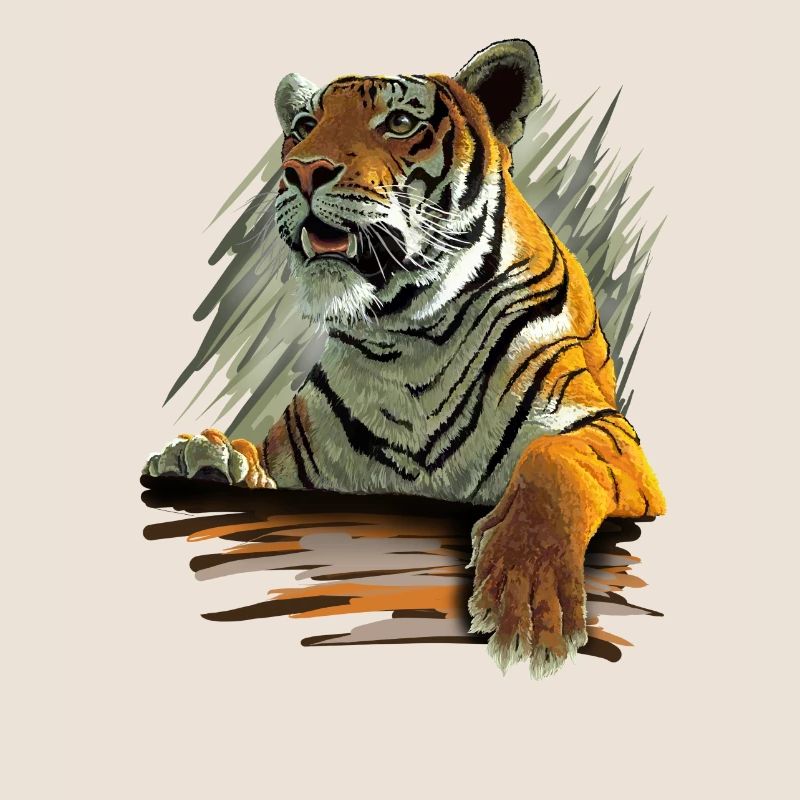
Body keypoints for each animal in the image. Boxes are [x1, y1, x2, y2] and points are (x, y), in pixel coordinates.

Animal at [144, 39, 666, 679]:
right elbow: (254, 461)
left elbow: (553, 464)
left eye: (398, 123)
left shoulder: (604, 431)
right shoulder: (299, 468)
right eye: (304, 126)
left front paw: (527, 601)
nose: (303, 170)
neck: (408, 341)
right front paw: (202, 459)